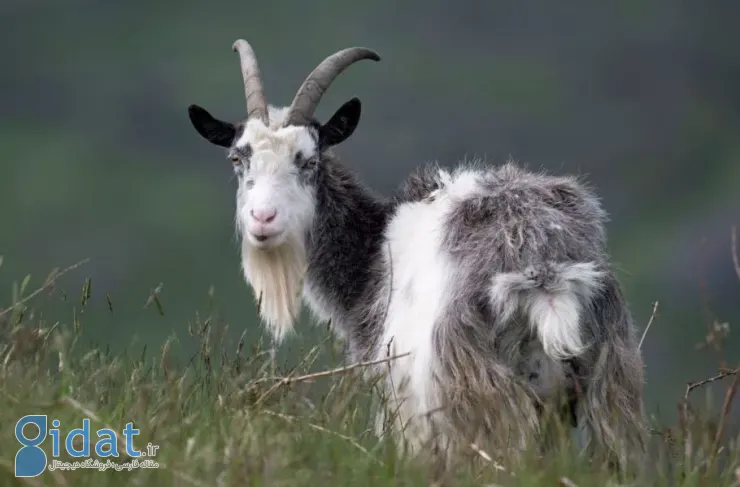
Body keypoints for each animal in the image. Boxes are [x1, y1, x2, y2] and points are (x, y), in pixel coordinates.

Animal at [186, 39, 648, 472]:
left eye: (308, 160)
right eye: (237, 158)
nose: (263, 218)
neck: (374, 253)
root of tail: (545, 271)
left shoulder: (403, 406)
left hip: (477, 398)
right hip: (609, 391)